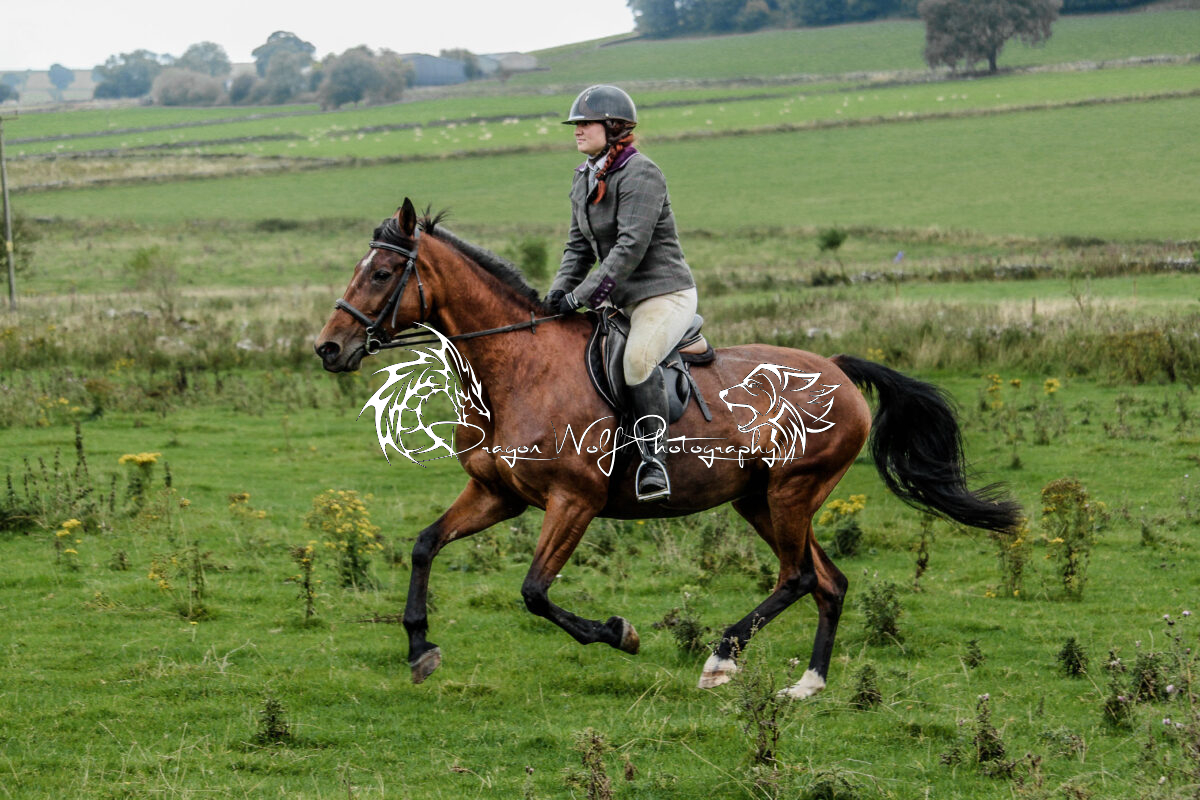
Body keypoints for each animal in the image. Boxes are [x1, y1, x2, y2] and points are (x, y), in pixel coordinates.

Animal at [314, 199, 1022, 697]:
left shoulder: (574, 500)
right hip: (760, 501)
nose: (328, 348)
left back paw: (721, 659)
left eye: (383, 272)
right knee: (828, 581)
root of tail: (839, 370)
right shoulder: (496, 494)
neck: (513, 368)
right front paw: (419, 649)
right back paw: (807, 685)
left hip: (792, 491)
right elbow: (425, 545)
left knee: (798, 577)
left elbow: (535, 591)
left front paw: (619, 634)